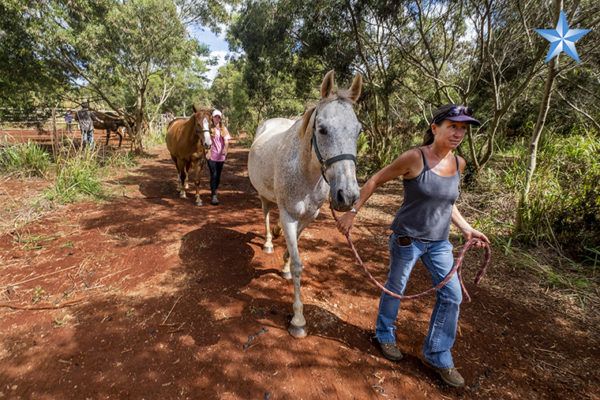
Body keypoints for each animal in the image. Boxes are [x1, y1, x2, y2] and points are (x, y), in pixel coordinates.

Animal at [247, 71, 360, 338]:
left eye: (358, 131)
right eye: (322, 129)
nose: (348, 196)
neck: (306, 171)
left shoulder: (309, 216)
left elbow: (294, 246)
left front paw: (286, 265)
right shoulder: (288, 214)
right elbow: (299, 264)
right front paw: (298, 319)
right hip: (264, 195)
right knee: (266, 214)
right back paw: (268, 242)